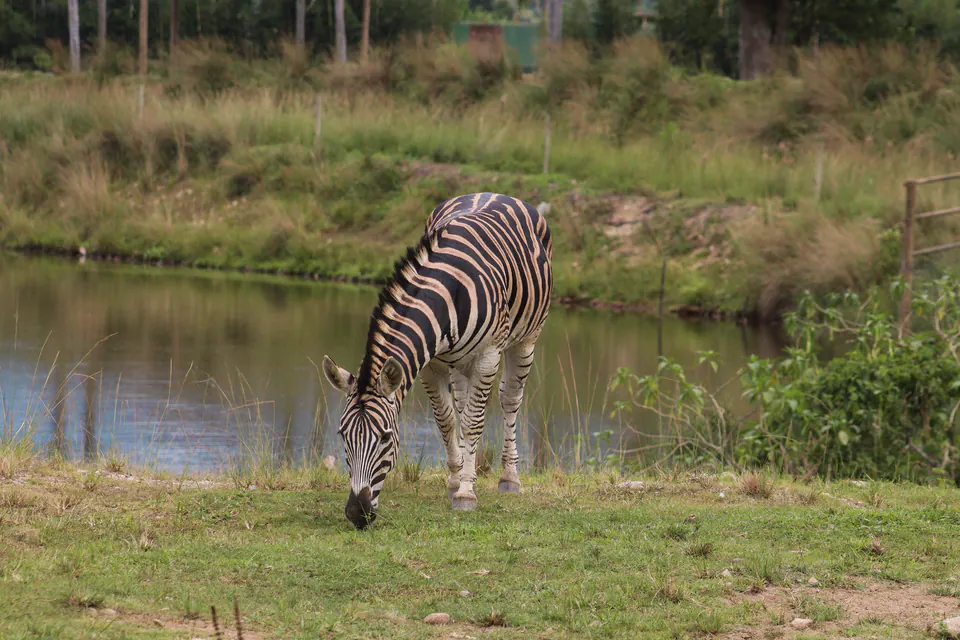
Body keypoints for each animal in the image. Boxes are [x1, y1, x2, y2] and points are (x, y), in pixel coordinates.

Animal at [322, 192, 553, 529]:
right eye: (343, 435)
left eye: (385, 437)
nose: (356, 513)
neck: (447, 290)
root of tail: (494, 193)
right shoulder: (431, 364)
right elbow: (447, 420)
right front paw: (456, 481)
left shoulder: (487, 356)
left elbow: (473, 422)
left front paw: (466, 494)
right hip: (458, 362)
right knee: (462, 405)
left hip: (525, 340)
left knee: (509, 399)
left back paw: (510, 478)